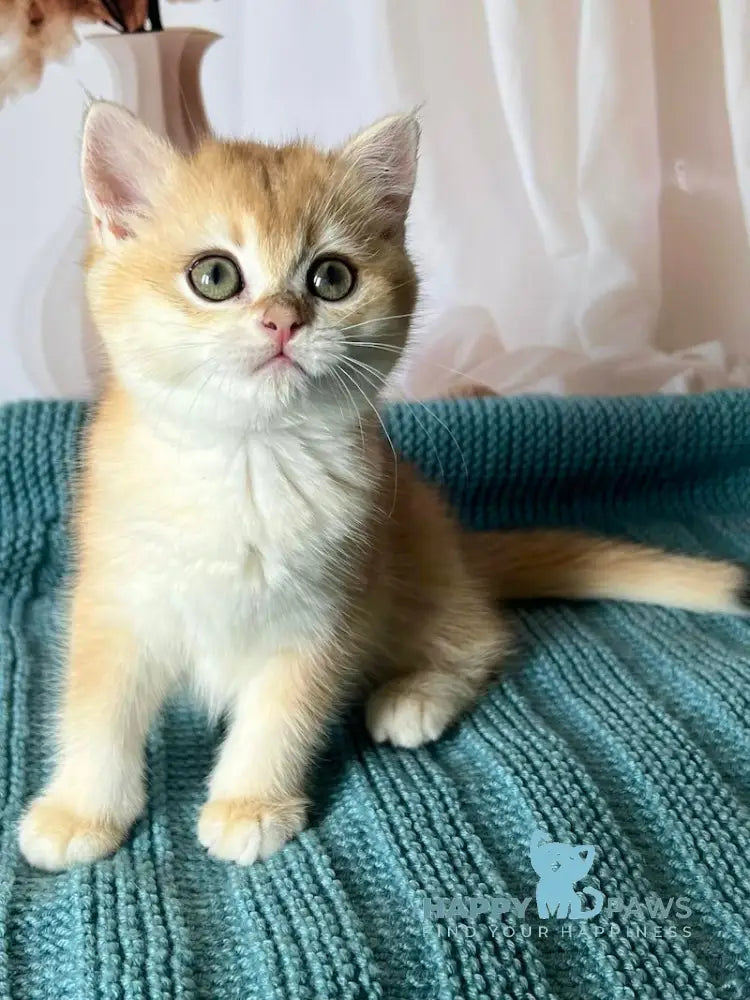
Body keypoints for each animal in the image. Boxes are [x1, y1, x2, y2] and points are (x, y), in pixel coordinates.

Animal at [17, 99, 748, 868]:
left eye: (331, 279)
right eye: (214, 276)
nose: (283, 320)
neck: (249, 458)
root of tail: (462, 551)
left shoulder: (324, 615)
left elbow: (280, 717)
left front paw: (252, 802)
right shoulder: (114, 601)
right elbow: (98, 713)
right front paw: (80, 809)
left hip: (420, 579)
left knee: (482, 639)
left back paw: (415, 697)